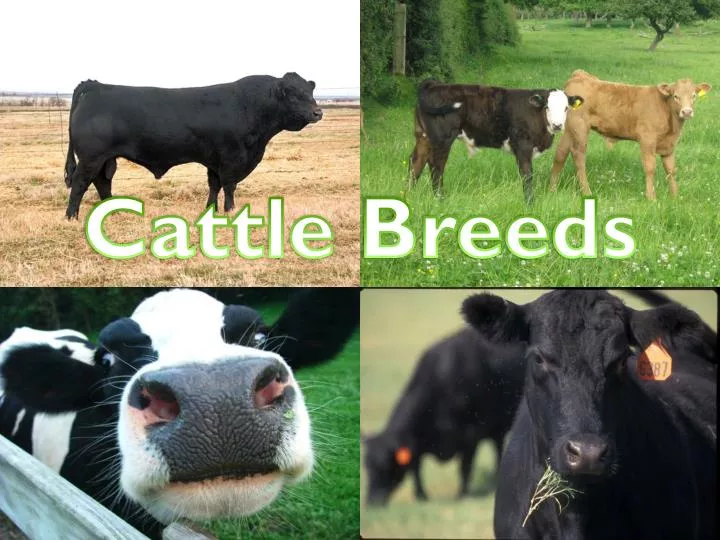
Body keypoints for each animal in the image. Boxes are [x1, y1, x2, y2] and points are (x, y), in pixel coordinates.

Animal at [63, 72, 323, 219]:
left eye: (310, 92)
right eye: (293, 94)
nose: (317, 112)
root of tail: (94, 85)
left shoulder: (215, 160)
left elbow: (214, 185)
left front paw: (212, 210)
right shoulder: (231, 157)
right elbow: (229, 186)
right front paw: (230, 211)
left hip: (105, 158)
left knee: (102, 182)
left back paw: (112, 211)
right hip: (91, 157)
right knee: (80, 183)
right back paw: (71, 217)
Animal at [363, 328, 526, 506]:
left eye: (385, 466)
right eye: (366, 466)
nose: (371, 502)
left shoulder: (471, 434)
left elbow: (464, 467)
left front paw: (461, 495)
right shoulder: (417, 442)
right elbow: (416, 468)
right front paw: (421, 496)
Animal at [408, 79, 584, 203]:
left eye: (566, 108)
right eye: (547, 107)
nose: (557, 125)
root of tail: (434, 85)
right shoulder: (523, 146)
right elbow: (527, 175)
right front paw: (530, 203)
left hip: (423, 137)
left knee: (416, 161)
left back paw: (409, 195)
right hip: (442, 139)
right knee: (436, 167)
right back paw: (439, 198)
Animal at [550, 70, 712, 200]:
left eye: (693, 96)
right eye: (675, 96)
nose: (687, 112)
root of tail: (579, 75)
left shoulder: (669, 145)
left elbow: (671, 170)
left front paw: (675, 197)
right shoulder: (647, 139)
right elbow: (650, 167)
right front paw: (651, 198)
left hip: (569, 129)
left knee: (561, 153)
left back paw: (552, 188)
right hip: (580, 127)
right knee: (578, 156)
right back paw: (587, 192)